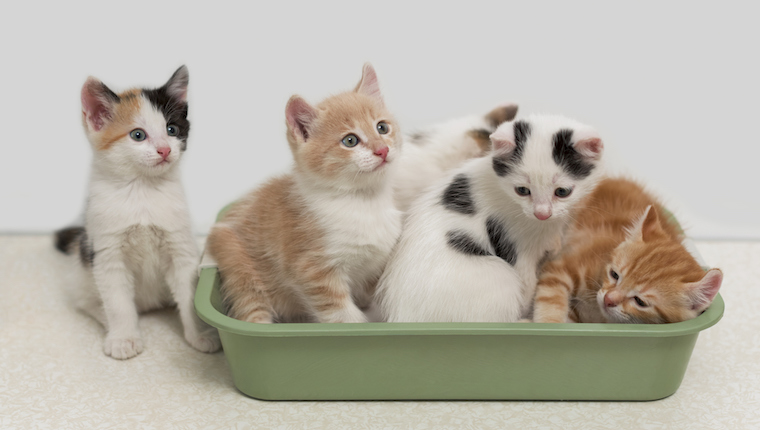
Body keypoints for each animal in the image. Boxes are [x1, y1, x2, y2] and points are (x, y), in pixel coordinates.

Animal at [52, 65, 220, 358]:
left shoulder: (181, 248)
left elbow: (189, 296)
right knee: (89, 302)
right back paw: (106, 319)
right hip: (82, 271)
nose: (164, 149)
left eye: (172, 129)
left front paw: (199, 335)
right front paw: (124, 338)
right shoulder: (107, 254)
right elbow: (118, 304)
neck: (142, 191)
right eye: (138, 135)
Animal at [205, 63, 400, 324]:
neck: (362, 201)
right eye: (350, 140)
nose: (382, 150)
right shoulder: (312, 269)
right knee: (251, 309)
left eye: (382, 127)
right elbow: (342, 315)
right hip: (239, 266)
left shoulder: (375, 264)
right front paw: (356, 324)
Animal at [376, 114, 604, 322]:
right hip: (499, 278)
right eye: (522, 190)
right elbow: (527, 280)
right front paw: (528, 310)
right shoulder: (513, 241)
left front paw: (554, 244)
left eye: (562, 192)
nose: (542, 213)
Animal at [532, 177, 720, 322]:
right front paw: (549, 324)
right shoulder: (561, 266)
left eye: (640, 302)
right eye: (614, 275)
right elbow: (551, 298)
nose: (608, 300)